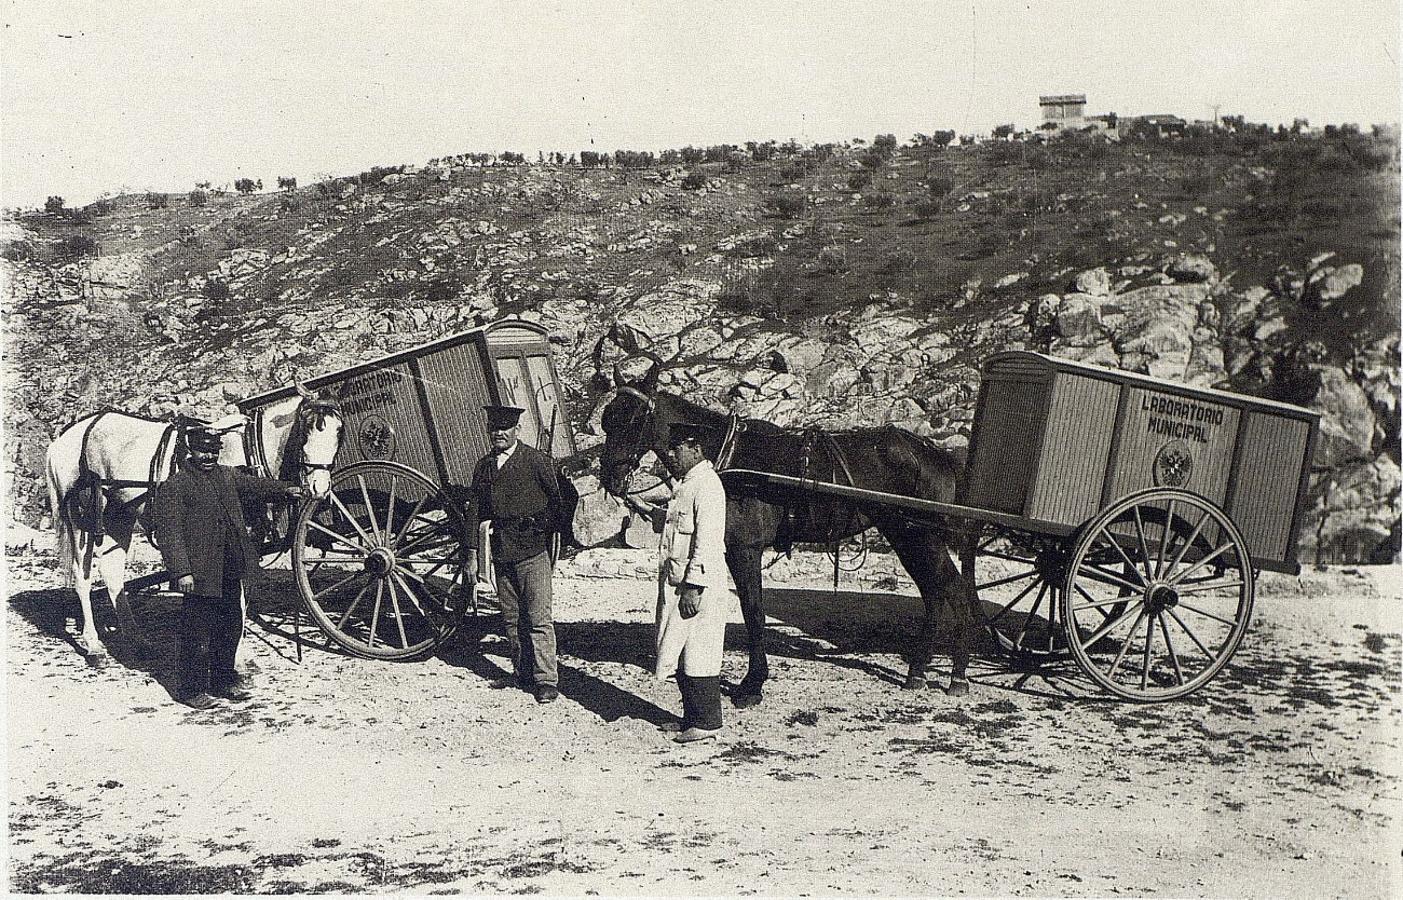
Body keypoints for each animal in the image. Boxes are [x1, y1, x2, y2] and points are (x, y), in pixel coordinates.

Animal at [44, 387, 342, 668]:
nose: (319, 488)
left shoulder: (249, 537)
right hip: (81, 520)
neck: (248, 449)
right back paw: (94, 646)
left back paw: (137, 640)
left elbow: (241, 594)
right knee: (82, 577)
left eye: (339, 430)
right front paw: (237, 657)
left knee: (113, 572)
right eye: (309, 427)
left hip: (119, 517)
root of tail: (60, 442)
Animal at [597, 367, 982, 704]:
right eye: (607, 417)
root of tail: (935, 452)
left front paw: (753, 683)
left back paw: (958, 676)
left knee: (954, 590)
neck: (731, 459)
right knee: (935, 593)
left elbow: (754, 612)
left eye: (633, 418)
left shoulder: (744, 550)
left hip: (923, 537)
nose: (609, 478)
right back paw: (918, 671)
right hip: (906, 537)